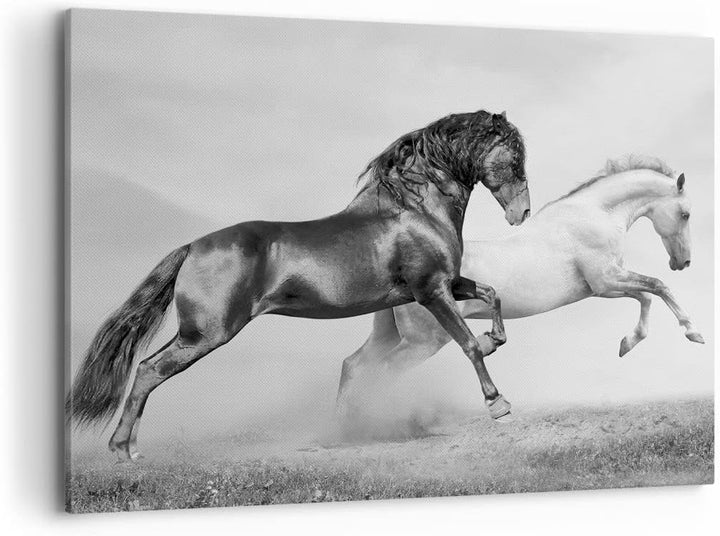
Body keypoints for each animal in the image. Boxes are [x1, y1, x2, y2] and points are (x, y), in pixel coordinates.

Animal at [67, 110, 532, 461]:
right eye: (514, 157)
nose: (522, 213)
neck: (415, 210)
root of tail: (192, 247)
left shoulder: (449, 284)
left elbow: (492, 296)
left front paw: (493, 339)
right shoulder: (431, 291)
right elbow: (467, 344)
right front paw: (498, 404)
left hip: (198, 332)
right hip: (206, 333)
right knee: (149, 370)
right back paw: (123, 450)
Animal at [336, 156, 705, 415]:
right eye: (685, 214)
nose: (684, 262)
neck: (594, 216)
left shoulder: (608, 283)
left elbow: (647, 295)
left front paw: (627, 343)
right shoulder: (606, 281)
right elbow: (657, 287)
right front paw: (693, 333)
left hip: (390, 335)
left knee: (354, 365)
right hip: (423, 342)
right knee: (383, 372)